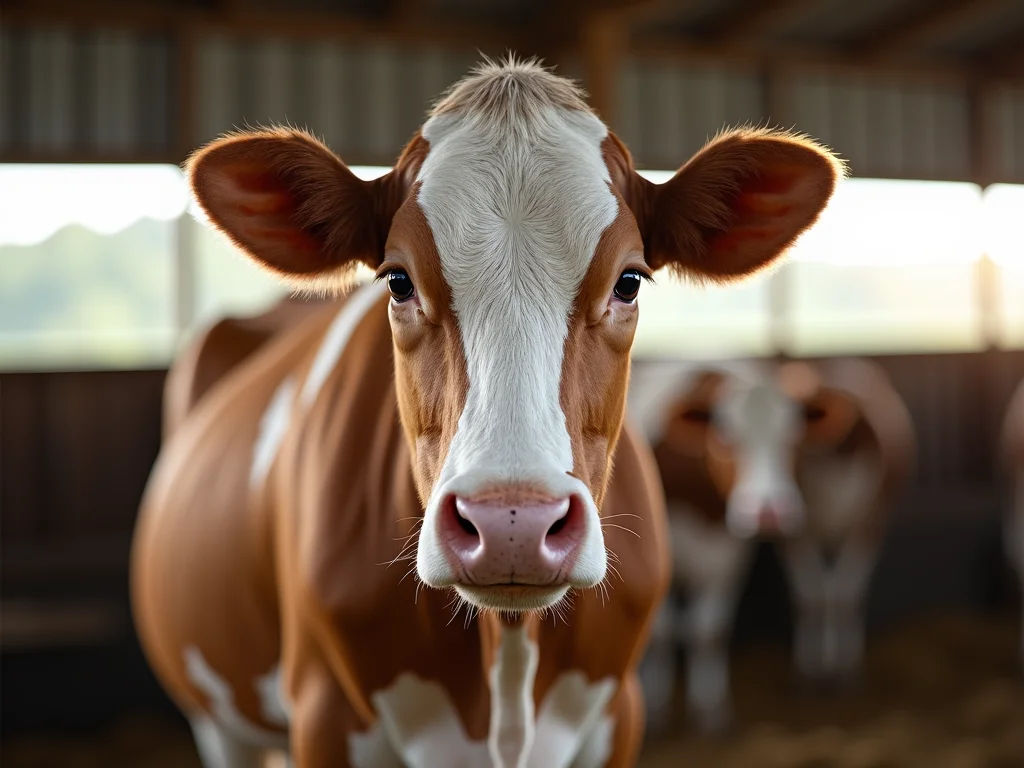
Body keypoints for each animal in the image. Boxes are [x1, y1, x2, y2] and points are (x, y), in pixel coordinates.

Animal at [130, 58, 842, 767]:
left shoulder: (619, 712)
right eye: (397, 281)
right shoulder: (323, 717)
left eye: (629, 281)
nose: (512, 525)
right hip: (220, 723)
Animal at [630, 357, 915, 733]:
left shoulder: (732, 556)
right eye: (724, 435)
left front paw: (711, 712)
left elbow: (711, 631)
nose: (769, 513)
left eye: (793, 437)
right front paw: (659, 712)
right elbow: (662, 632)